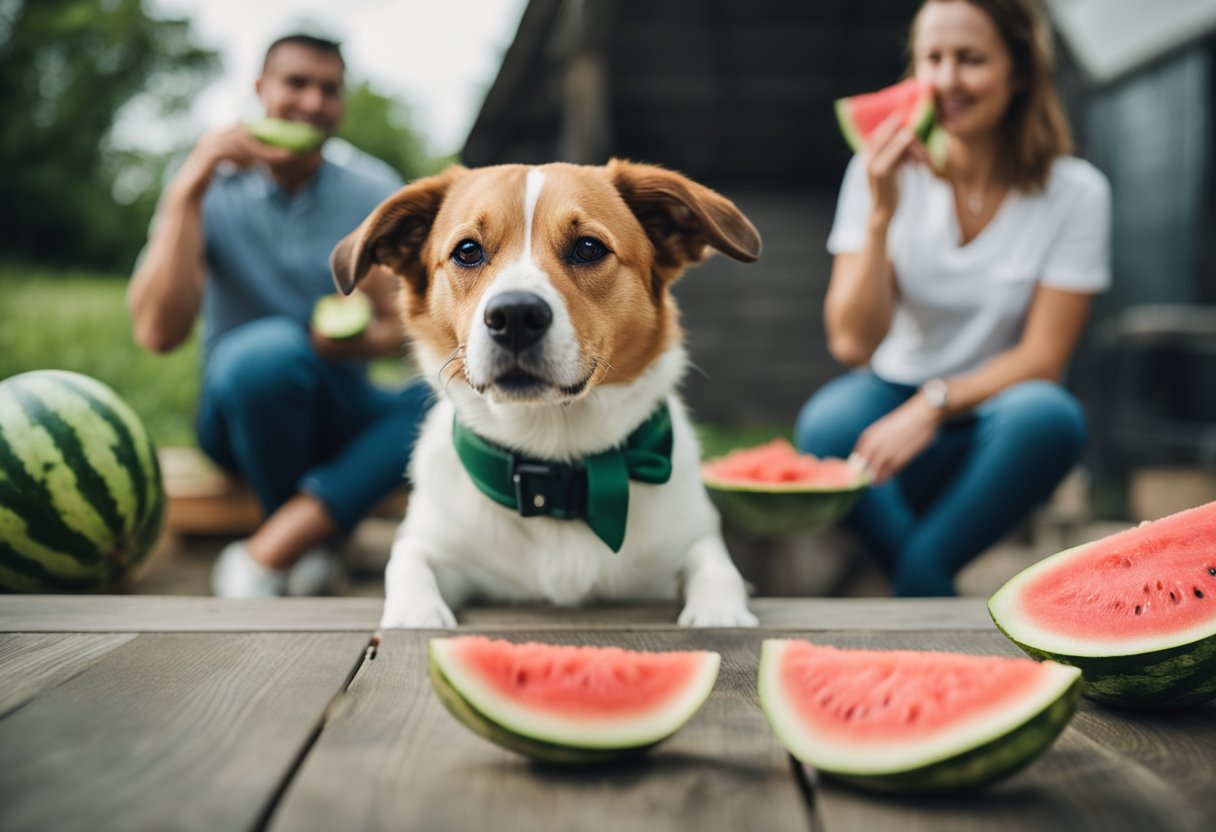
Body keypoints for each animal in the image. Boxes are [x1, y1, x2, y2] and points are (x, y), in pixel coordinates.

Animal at [330, 159, 758, 627]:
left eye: (588, 247)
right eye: (467, 250)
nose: (514, 315)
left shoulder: (694, 539)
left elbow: (719, 568)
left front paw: (720, 614)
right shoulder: (429, 542)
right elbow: (406, 562)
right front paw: (415, 614)